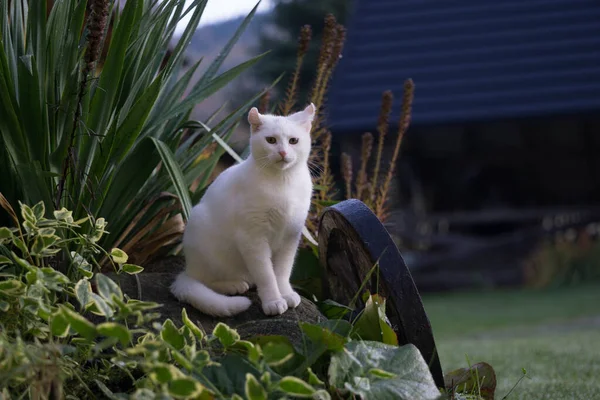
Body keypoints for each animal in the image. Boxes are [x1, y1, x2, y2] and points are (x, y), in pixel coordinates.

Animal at [170, 104, 314, 318]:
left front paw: (286, 293)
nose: (282, 152)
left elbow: (282, 272)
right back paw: (233, 285)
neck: (283, 182)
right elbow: (266, 275)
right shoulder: (253, 238)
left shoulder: (290, 236)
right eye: (271, 140)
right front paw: (273, 300)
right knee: (205, 281)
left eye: (293, 141)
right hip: (204, 236)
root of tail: (187, 269)